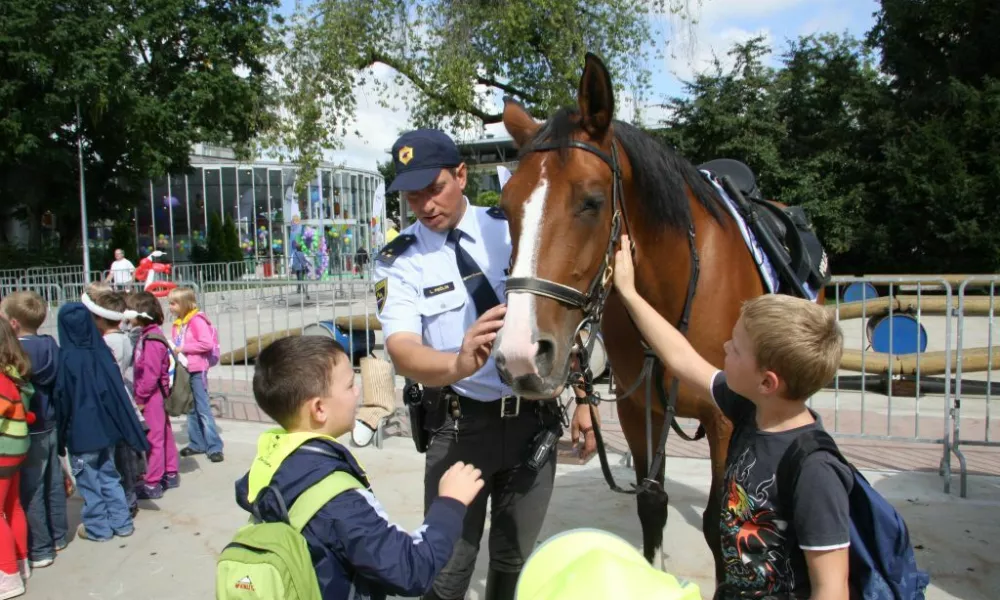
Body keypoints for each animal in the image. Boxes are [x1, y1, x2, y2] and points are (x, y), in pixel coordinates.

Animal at [494, 52, 828, 580]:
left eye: (591, 201)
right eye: (506, 210)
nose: (521, 355)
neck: (672, 290)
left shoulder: (725, 416)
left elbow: (719, 523)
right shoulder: (639, 409)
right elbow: (651, 504)